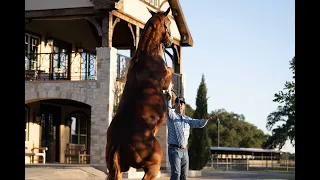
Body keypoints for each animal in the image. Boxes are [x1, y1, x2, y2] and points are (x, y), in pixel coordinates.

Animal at [106, 7, 174, 180]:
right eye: (168, 23)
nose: (170, 41)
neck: (146, 55)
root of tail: (118, 143)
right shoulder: (165, 77)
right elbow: (170, 72)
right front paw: (171, 92)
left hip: (114, 169)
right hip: (153, 167)